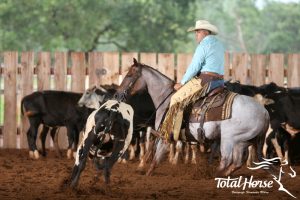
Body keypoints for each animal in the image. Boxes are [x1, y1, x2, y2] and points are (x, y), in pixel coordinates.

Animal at [117, 58, 270, 176]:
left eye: (129, 75)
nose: (118, 94)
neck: (166, 98)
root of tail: (264, 112)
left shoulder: (165, 135)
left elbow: (155, 159)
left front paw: (146, 172)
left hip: (229, 139)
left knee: (226, 160)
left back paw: (213, 175)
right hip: (242, 142)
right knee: (237, 162)